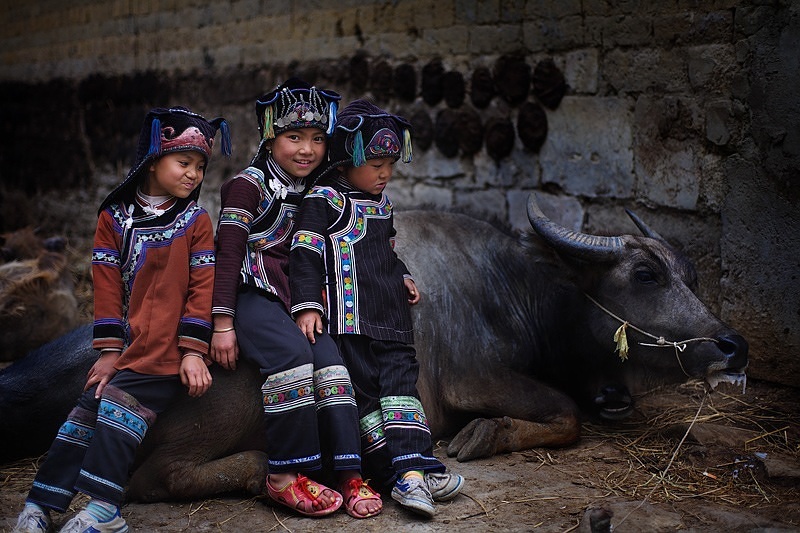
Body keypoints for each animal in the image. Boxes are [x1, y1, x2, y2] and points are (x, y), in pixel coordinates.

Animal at [0, 193, 752, 500]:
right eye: (646, 274)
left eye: (689, 272)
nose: (732, 345)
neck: (514, 289)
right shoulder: (476, 380)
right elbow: (563, 413)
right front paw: (483, 435)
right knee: (155, 477)